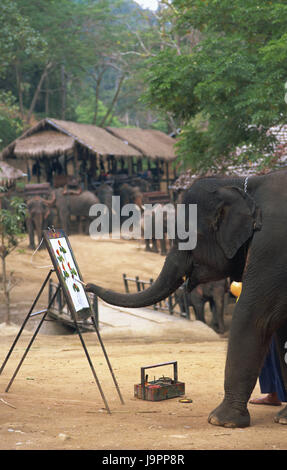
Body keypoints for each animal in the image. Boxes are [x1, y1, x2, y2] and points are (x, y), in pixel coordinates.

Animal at [86, 171, 287, 428]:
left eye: (187, 236)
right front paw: (284, 419)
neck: (241, 183)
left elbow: (254, 316)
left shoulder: (272, 246)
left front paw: (220, 421)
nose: (86, 285)